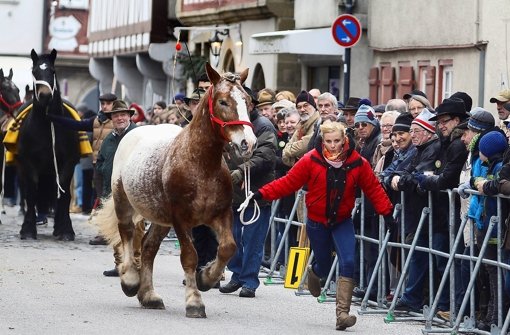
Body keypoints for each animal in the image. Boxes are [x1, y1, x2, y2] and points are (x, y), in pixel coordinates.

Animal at [16, 48, 80, 240]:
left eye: (52, 71)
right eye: (34, 71)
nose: (45, 96)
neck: (48, 124)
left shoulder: (68, 163)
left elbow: (64, 193)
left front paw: (65, 229)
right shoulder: (28, 163)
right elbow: (31, 193)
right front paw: (28, 229)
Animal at [95, 64, 255, 318]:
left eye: (248, 101)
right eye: (223, 102)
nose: (248, 143)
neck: (200, 164)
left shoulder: (221, 215)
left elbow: (228, 248)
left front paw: (206, 278)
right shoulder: (181, 219)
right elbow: (189, 256)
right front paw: (194, 302)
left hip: (161, 218)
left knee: (148, 247)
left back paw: (149, 295)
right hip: (123, 201)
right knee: (127, 233)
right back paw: (130, 280)